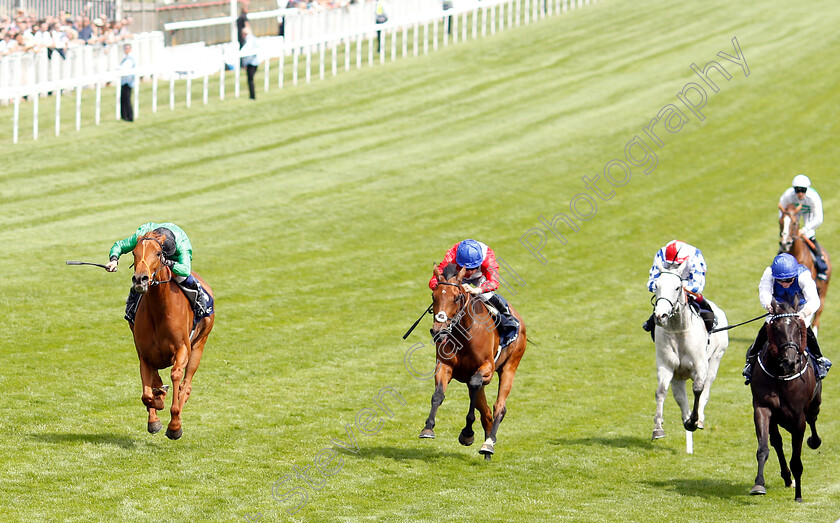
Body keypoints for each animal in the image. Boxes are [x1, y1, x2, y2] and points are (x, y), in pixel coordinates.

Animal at [130, 231, 215, 440]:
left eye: (158, 253)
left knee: (186, 385)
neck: (159, 311)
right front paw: (155, 413)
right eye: (134, 252)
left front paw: (175, 425)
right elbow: (147, 394)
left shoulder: (182, 348)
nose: (140, 279)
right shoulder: (144, 354)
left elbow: (175, 375)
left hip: (199, 346)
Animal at [418, 264, 528, 460]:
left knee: (499, 407)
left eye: (456, 297)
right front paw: (428, 428)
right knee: (486, 413)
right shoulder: (445, 366)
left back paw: (488, 444)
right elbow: (438, 395)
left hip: (510, 365)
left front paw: (467, 433)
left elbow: (476, 384)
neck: (464, 335)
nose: (438, 331)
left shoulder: (487, 368)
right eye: (434, 296)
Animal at [648, 268, 728, 444]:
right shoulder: (667, 367)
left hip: (716, 358)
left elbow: (698, 389)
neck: (679, 331)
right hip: (679, 376)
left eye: (677, 287)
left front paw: (694, 421)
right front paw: (658, 428)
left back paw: (698, 419)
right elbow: (661, 392)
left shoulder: (700, 366)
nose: (661, 316)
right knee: (680, 396)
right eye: (657, 285)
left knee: (706, 388)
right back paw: (686, 417)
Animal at [748, 298, 820, 504]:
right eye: (777, 328)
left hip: (815, 404)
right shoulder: (763, 408)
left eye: (798, 327)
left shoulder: (798, 418)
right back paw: (787, 478)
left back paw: (814, 441)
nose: (790, 361)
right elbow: (764, 448)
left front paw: (799, 496)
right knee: (777, 443)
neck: (781, 376)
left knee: (813, 419)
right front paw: (758, 485)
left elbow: (796, 460)